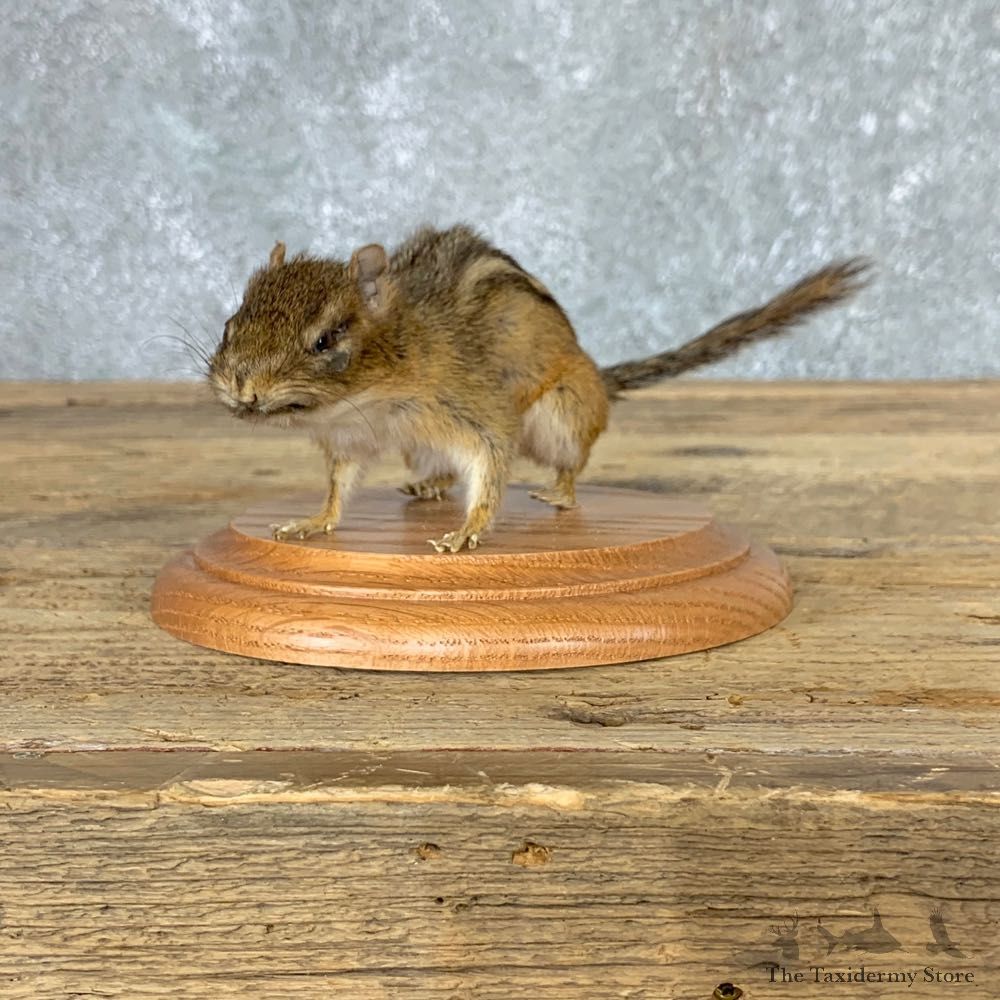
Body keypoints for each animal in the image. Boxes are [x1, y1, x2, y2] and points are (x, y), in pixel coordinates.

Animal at [208, 225, 869, 552]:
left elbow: (490, 465)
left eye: (325, 340)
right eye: (231, 321)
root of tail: (597, 380)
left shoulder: (476, 413)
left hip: (561, 415)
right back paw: (429, 484)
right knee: (439, 467)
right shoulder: (348, 440)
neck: (369, 398)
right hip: (425, 447)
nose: (242, 387)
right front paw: (311, 522)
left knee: (571, 468)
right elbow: (338, 490)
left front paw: (468, 532)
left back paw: (558, 494)